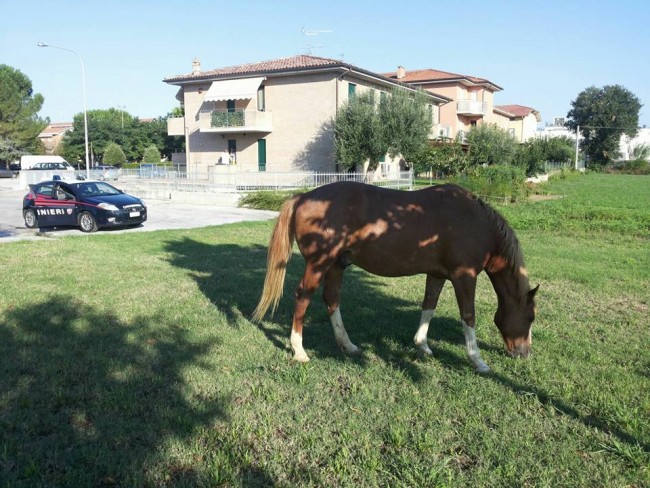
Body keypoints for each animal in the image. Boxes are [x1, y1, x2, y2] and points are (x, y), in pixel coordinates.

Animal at [253, 181, 538, 372]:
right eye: (531, 317)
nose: (524, 353)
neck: (474, 221)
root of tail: (303, 197)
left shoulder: (437, 275)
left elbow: (428, 306)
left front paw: (422, 345)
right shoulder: (463, 276)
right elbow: (468, 316)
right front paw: (477, 360)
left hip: (335, 265)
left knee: (332, 299)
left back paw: (348, 345)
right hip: (318, 264)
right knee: (303, 297)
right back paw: (299, 350)